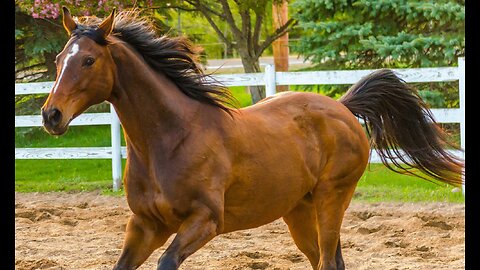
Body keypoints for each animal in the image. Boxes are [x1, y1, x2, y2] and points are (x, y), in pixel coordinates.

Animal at [42, 7, 464, 268]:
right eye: (60, 60)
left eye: (89, 60)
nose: (51, 115)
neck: (170, 138)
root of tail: (342, 107)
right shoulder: (145, 225)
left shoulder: (205, 221)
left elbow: (167, 262)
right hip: (299, 210)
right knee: (326, 261)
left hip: (332, 199)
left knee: (329, 260)